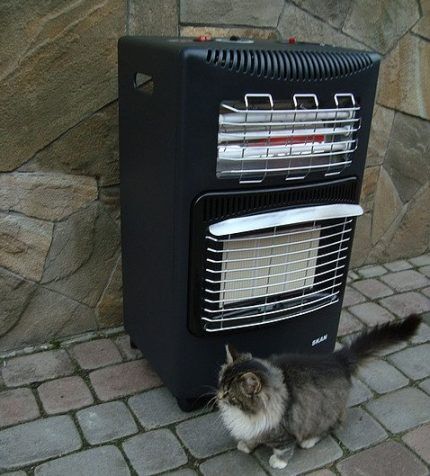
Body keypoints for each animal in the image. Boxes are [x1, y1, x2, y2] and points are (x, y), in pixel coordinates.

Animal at [217, 312, 422, 468]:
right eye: (220, 384)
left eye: (229, 393)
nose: (218, 396)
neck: (246, 413)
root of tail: (338, 359)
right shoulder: (255, 428)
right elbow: (252, 437)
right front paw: (246, 445)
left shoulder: (284, 431)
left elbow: (284, 448)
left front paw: (279, 461)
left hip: (322, 414)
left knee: (331, 426)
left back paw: (309, 441)